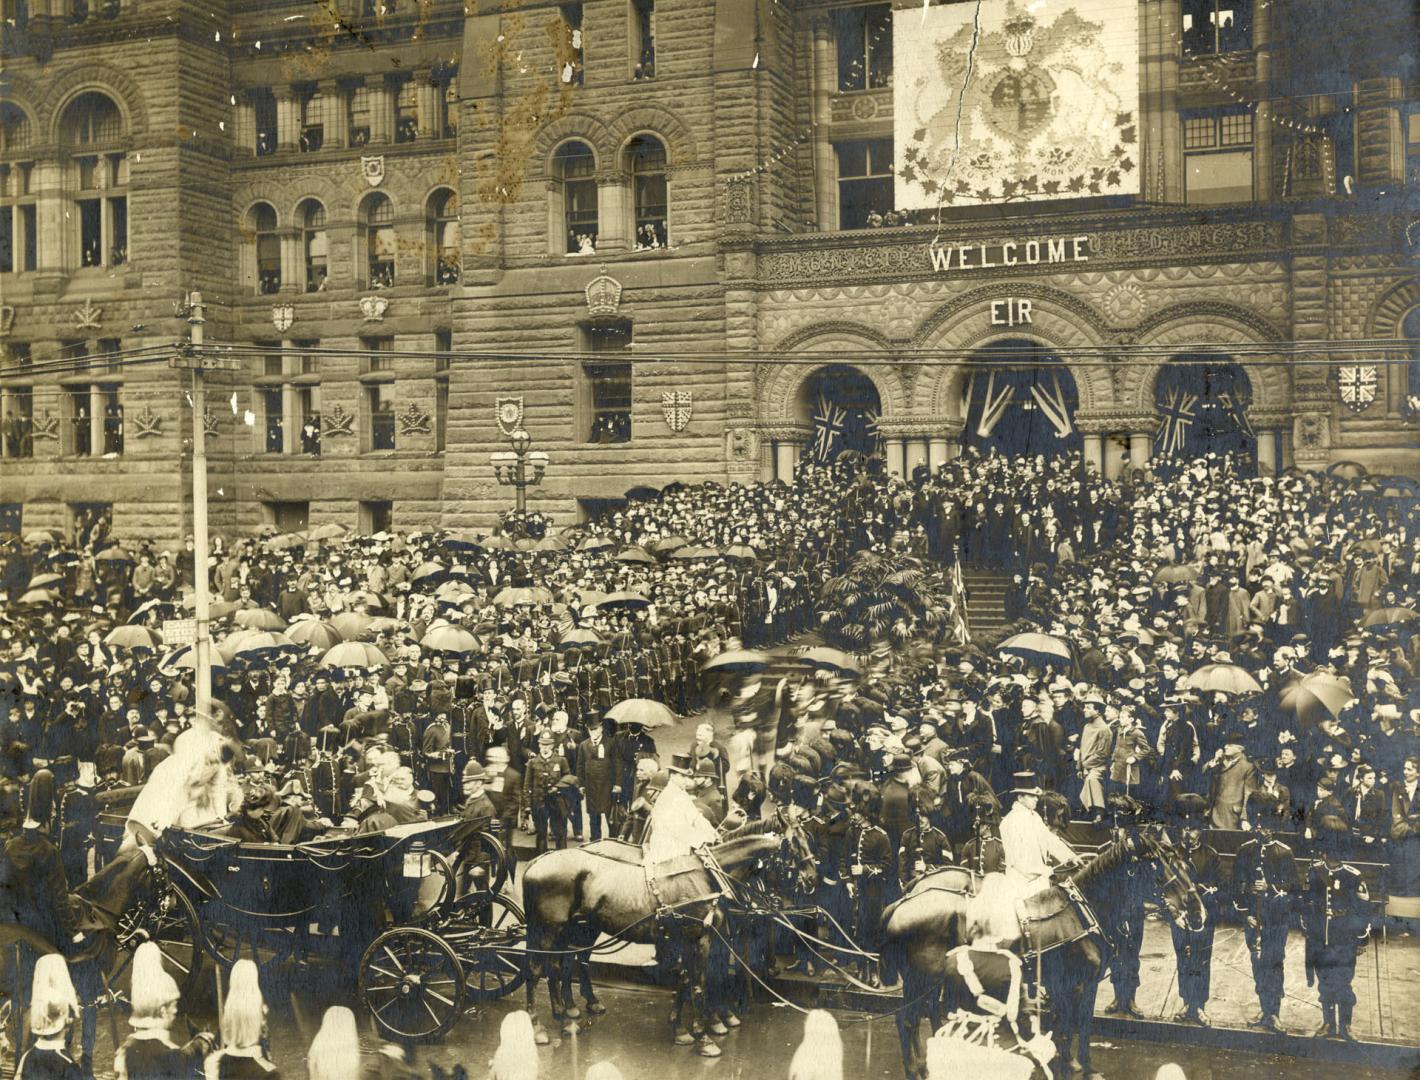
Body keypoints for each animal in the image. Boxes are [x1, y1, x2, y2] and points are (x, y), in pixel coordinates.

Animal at [522, 823, 817, 1055]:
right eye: (795, 847)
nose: (813, 879)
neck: (708, 876)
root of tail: (537, 861)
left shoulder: (689, 938)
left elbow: (687, 980)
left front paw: (682, 1029)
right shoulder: (701, 938)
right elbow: (700, 983)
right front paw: (704, 1035)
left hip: (573, 928)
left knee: (561, 965)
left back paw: (568, 1015)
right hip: (549, 930)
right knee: (538, 969)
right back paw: (540, 1026)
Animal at [880, 823, 1204, 1078]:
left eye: (1183, 863)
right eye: (1157, 865)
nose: (1196, 908)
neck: (1081, 912)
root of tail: (904, 900)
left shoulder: (1086, 985)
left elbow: (1083, 1026)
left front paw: (1085, 1066)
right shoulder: (1072, 986)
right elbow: (1067, 1029)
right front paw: (1069, 1066)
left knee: (927, 1013)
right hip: (920, 978)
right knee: (907, 1019)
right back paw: (916, 1069)